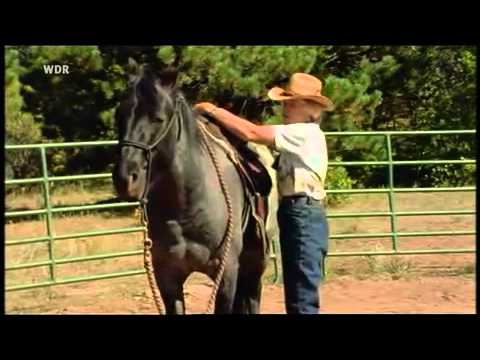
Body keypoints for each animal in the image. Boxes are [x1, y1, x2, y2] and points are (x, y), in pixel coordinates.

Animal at [113, 61, 270, 316]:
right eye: (119, 115)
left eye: (158, 118)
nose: (125, 179)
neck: (187, 203)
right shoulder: (167, 276)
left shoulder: (226, 274)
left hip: (255, 265)